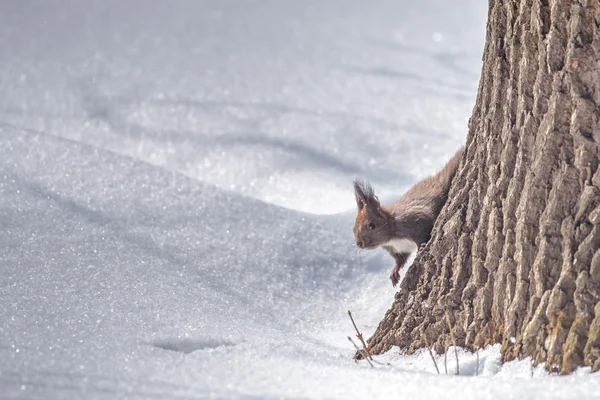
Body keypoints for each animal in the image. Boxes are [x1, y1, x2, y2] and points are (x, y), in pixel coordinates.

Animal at [354, 147, 462, 288]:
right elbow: (401, 260)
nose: (359, 244)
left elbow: (423, 232)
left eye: (372, 225)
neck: (392, 236)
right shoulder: (397, 249)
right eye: (353, 229)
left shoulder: (413, 221)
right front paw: (394, 271)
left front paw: (421, 247)